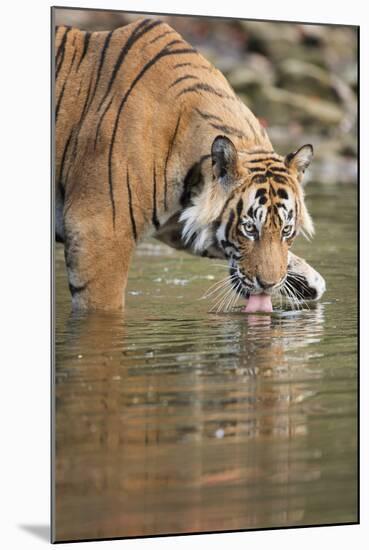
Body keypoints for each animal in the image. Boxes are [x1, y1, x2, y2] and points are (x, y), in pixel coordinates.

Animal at [54, 18, 324, 310]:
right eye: (249, 229)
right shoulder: (98, 233)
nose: (269, 285)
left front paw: (310, 281)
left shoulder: (179, 223)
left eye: (286, 230)